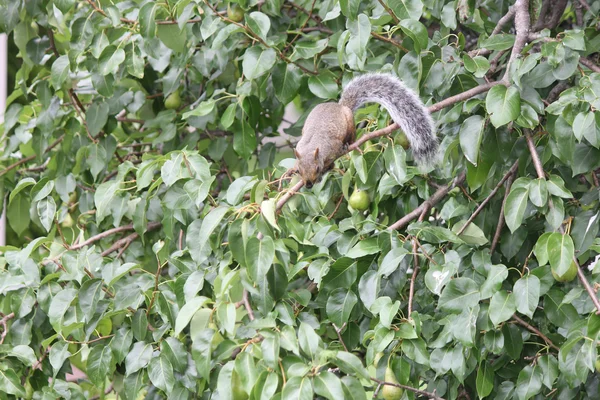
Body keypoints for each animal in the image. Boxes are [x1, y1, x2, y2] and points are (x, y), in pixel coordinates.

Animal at [294, 72, 436, 188]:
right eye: (299, 171)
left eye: (317, 168)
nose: (308, 185)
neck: (312, 146)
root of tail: (340, 106)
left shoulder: (332, 146)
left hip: (349, 123)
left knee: (352, 137)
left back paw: (348, 144)